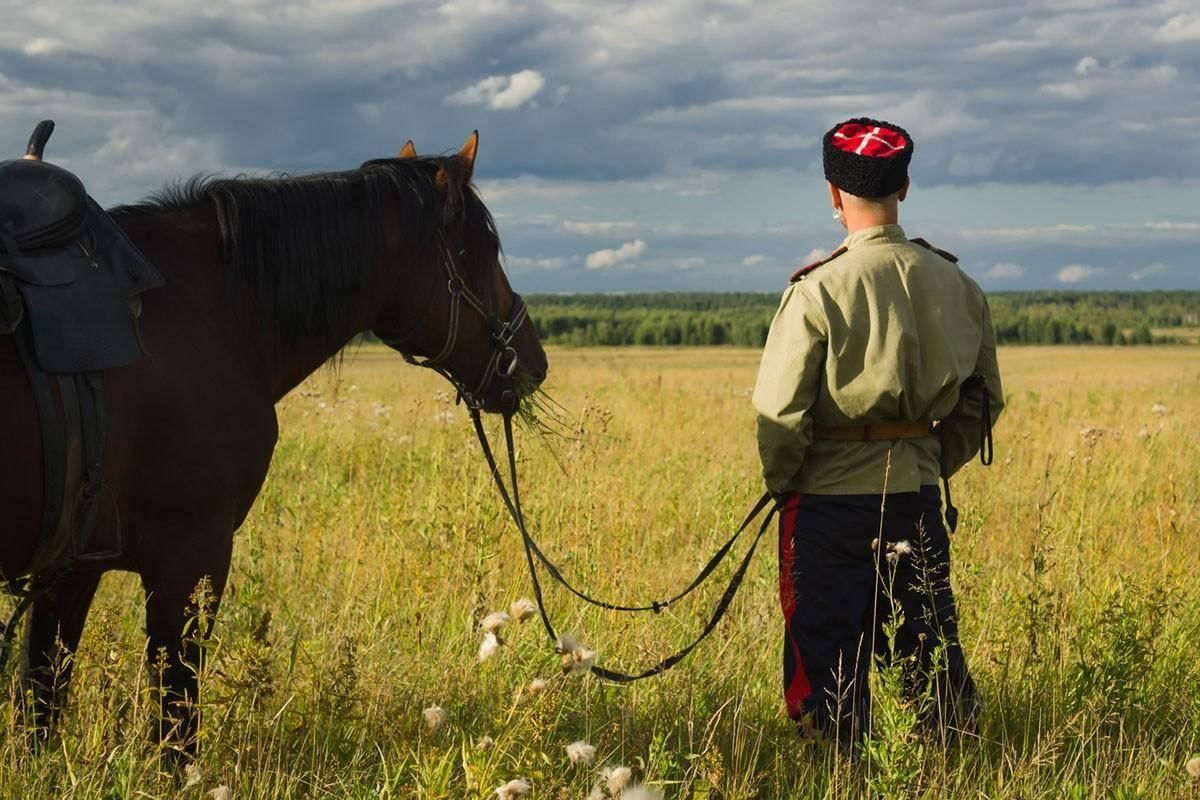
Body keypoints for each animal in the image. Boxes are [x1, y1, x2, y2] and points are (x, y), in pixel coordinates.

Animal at [1, 131, 549, 753]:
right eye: (485, 249)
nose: (534, 362)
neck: (203, 310)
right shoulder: (190, 558)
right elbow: (175, 722)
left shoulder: (69, 568)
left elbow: (40, 708)